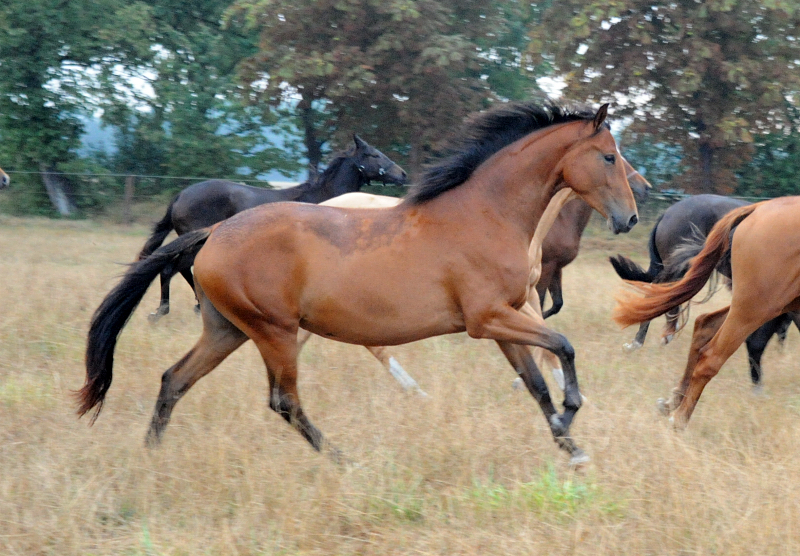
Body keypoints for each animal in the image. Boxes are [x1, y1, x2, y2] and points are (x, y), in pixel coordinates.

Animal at [616, 198, 800, 428]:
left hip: (760, 304)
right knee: (711, 354)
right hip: (757, 306)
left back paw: (673, 399)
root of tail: (757, 208)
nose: (758, 388)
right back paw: (679, 417)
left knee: (703, 325)